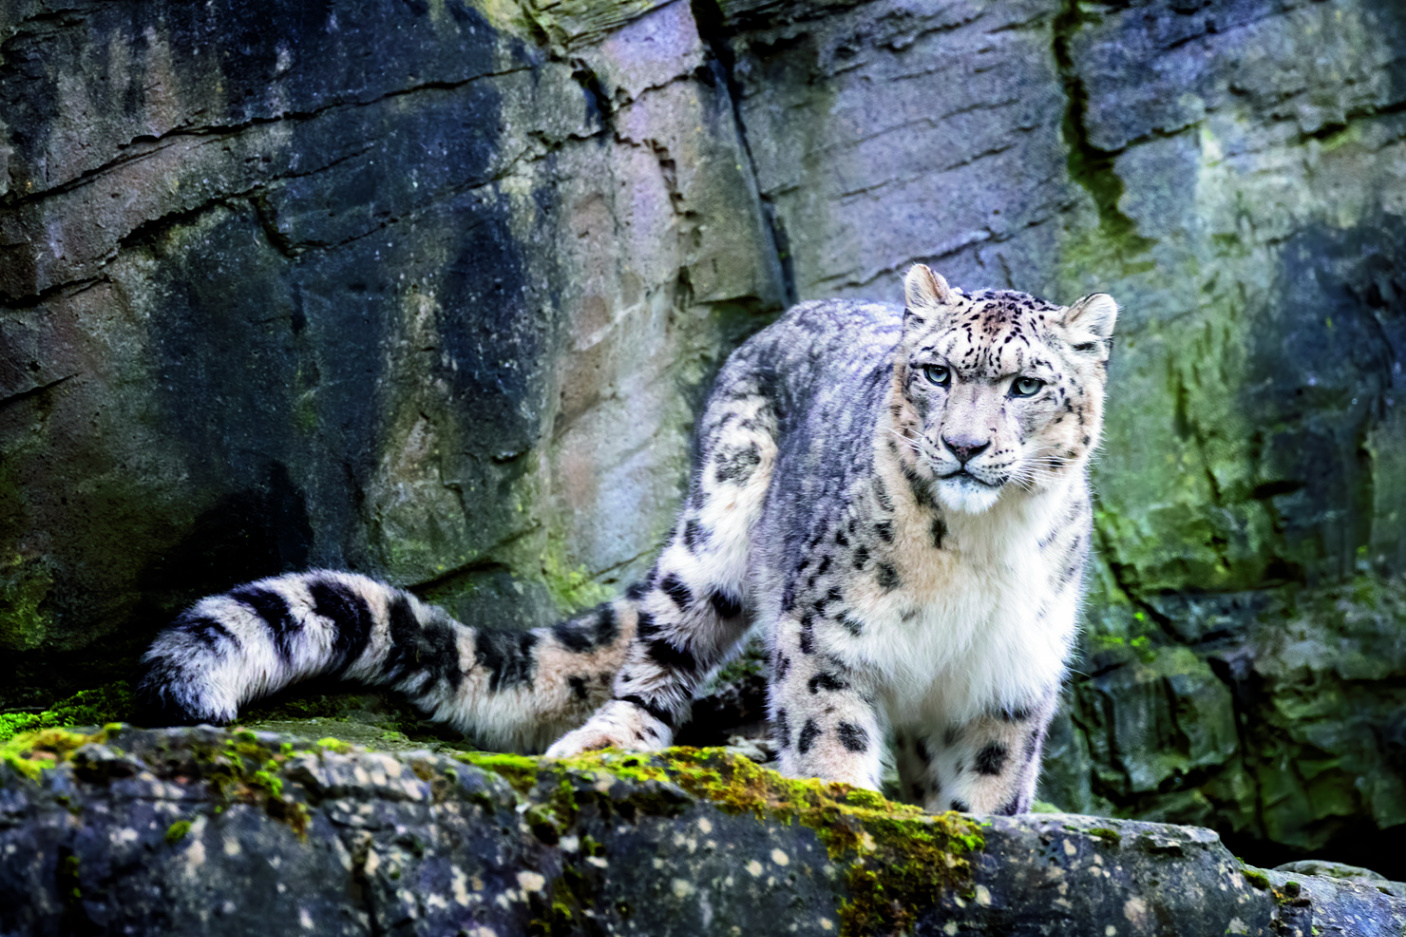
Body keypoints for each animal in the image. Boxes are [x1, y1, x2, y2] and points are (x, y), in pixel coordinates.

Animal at [138, 264, 1117, 815]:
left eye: (1028, 384)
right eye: (938, 371)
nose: (964, 444)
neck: (979, 550)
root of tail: (783, 320)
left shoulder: (1011, 679)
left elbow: (986, 786)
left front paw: (973, 825)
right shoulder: (825, 633)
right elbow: (830, 730)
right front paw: (844, 803)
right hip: (715, 529)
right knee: (655, 657)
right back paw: (609, 744)